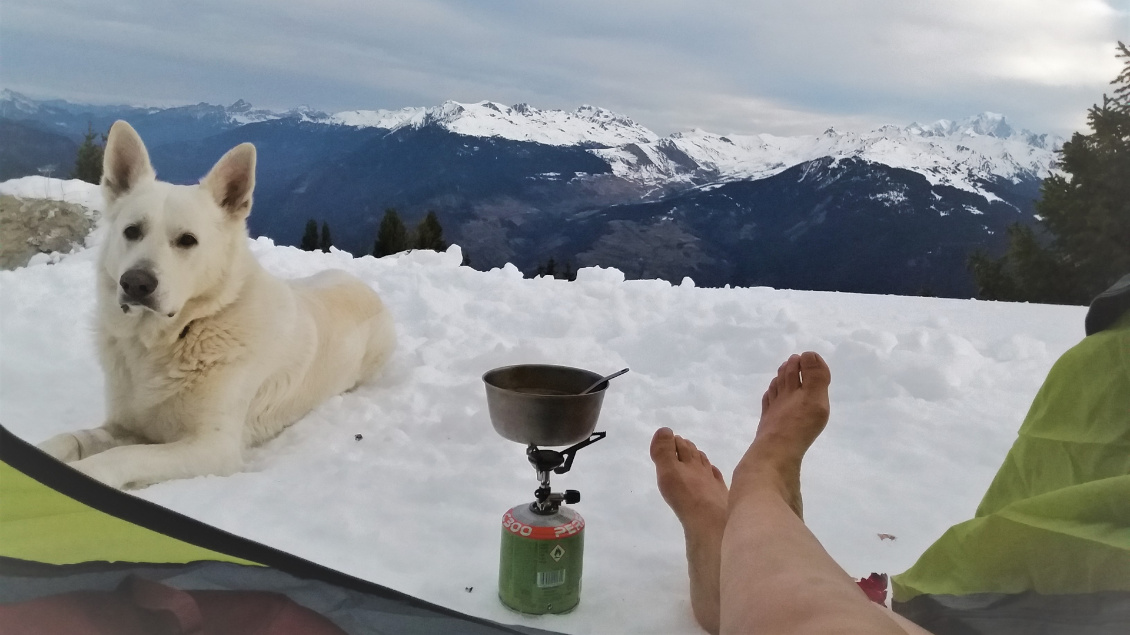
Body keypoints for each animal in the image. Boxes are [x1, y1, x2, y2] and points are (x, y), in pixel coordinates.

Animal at [37, 122, 397, 490]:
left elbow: (121, 456)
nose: (135, 283)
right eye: (132, 231)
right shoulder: (123, 426)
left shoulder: (212, 447)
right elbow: (70, 439)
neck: (178, 335)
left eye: (187, 240)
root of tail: (363, 286)